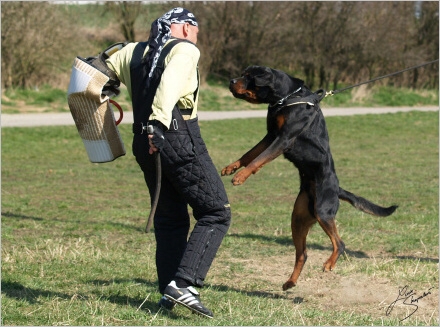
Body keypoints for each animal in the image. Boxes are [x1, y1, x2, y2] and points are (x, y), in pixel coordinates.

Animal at [222, 65, 398, 290]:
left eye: (248, 76)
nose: (231, 81)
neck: (286, 98)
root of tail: (337, 189)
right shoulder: (271, 135)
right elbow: (250, 154)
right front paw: (231, 168)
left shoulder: (284, 138)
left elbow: (258, 159)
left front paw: (240, 177)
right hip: (298, 218)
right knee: (303, 254)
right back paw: (290, 282)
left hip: (323, 211)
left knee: (340, 243)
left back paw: (329, 264)